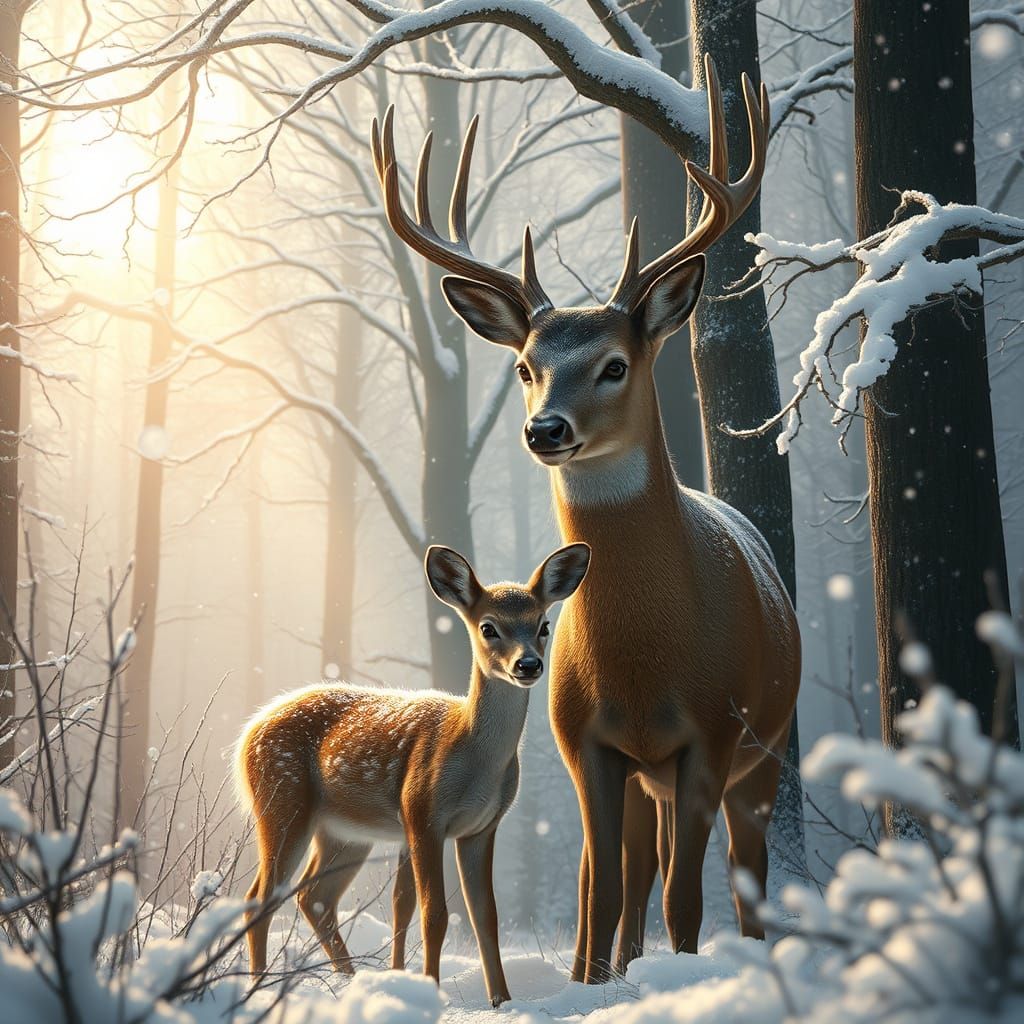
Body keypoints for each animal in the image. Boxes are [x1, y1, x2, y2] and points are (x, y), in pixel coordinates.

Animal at [236, 542, 590, 1006]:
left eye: (544, 624)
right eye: (489, 628)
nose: (528, 664)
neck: (472, 759)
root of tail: (248, 734)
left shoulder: (481, 827)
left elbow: (484, 915)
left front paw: (502, 999)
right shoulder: (422, 813)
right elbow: (434, 913)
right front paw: (431, 989)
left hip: (344, 833)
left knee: (314, 898)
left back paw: (351, 982)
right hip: (282, 802)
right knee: (259, 897)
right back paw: (258, 988)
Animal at [370, 54, 801, 985]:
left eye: (613, 364)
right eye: (526, 367)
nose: (544, 430)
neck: (642, 663)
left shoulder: (712, 735)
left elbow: (687, 900)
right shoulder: (586, 744)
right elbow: (600, 895)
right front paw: (593, 983)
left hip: (766, 748)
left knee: (736, 873)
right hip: (644, 779)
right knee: (623, 875)